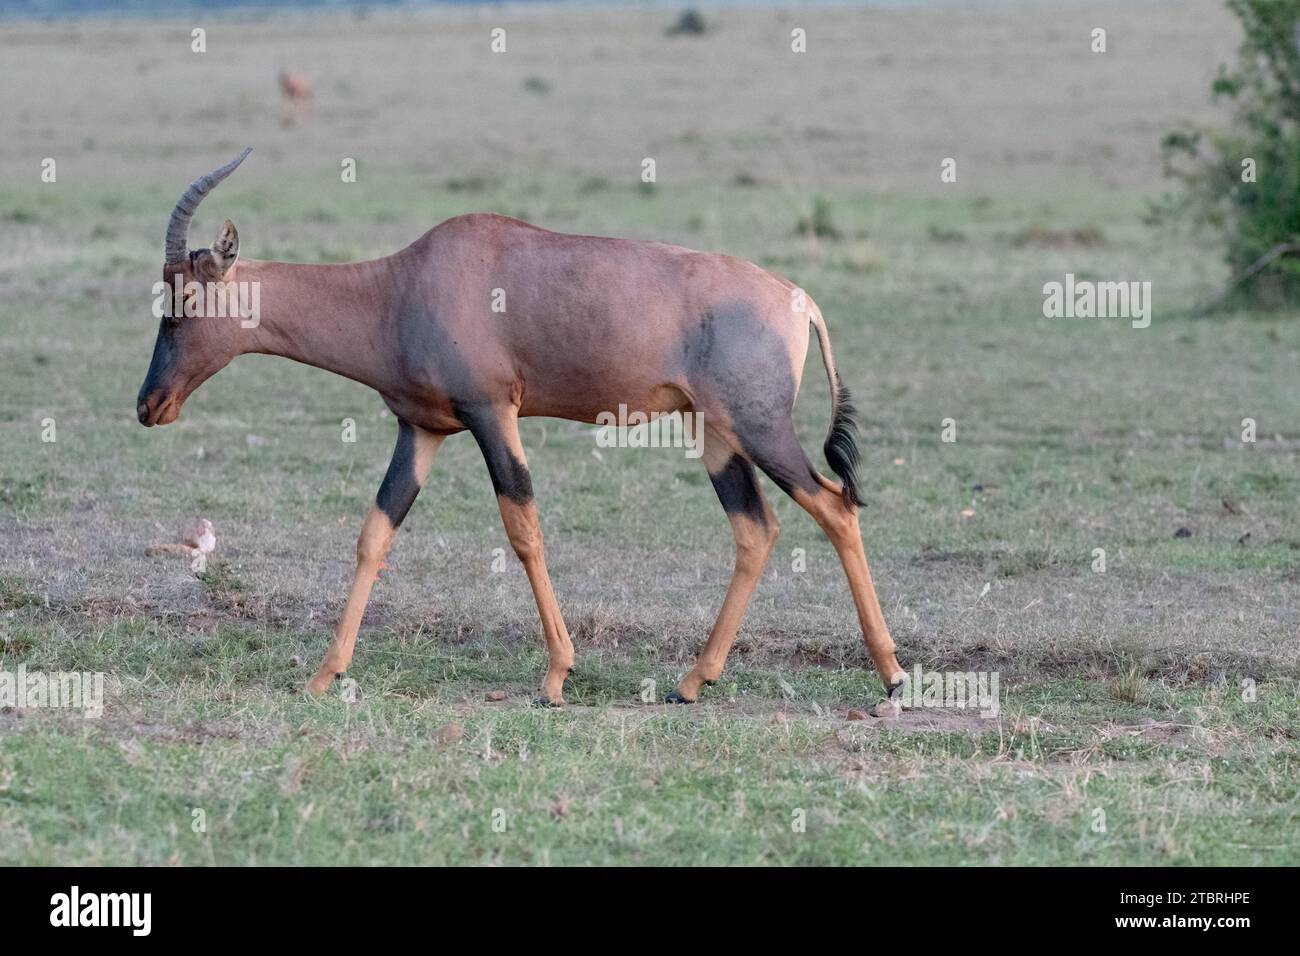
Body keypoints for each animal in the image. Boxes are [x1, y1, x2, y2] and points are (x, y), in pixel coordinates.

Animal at [131, 151, 904, 712]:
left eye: (183, 300)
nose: (149, 406)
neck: (403, 284)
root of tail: (798, 301)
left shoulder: (492, 414)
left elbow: (523, 527)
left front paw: (556, 678)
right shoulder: (422, 430)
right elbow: (376, 533)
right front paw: (324, 675)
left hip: (762, 429)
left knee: (835, 506)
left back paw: (892, 675)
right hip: (715, 434)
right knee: (757, 529)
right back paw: (692, 683)